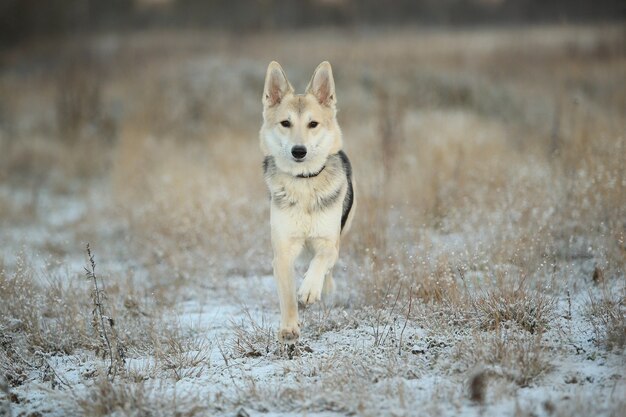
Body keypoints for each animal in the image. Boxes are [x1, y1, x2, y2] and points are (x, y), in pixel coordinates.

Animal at [260, 61, 356, 342]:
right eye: (285, 123)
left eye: (313, 123)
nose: (299, 151)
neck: (304, 183)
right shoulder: (282, 252)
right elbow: (288, 295)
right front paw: (289, 327)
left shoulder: (328, 241)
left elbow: (322, 260)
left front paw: (310, 289)